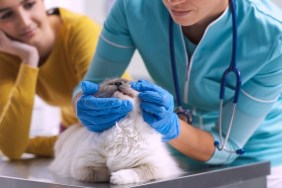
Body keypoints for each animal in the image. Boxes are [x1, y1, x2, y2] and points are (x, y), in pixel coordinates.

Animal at [49, 78, 183, 184]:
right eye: (112, 83)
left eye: (128, 83)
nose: (118, 83)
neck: (122, 125)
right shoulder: (84, 165)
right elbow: (103, 173)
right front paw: (111, 174)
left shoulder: (154, 165)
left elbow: (133, 171)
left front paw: (117, 176)